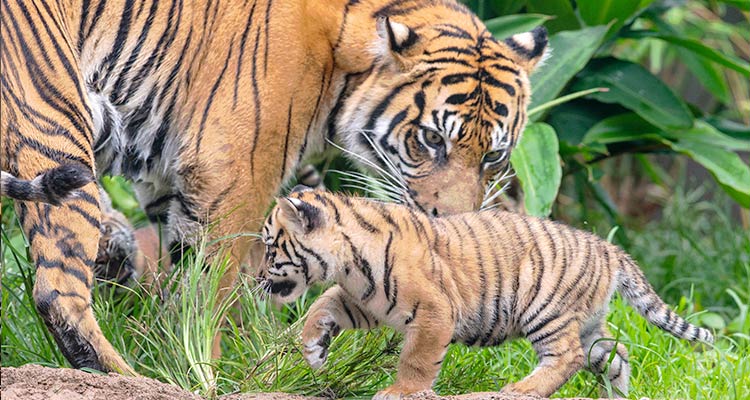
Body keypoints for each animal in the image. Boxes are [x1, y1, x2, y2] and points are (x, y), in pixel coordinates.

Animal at [2, 0, 548, 376]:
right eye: (432, 139)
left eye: (493, 155)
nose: (453, 226)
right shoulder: (233, 177)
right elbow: (213, 289)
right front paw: (208, 371)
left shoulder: (168, 184)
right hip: (54, 124)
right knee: (57, 290)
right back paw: (131, 378)